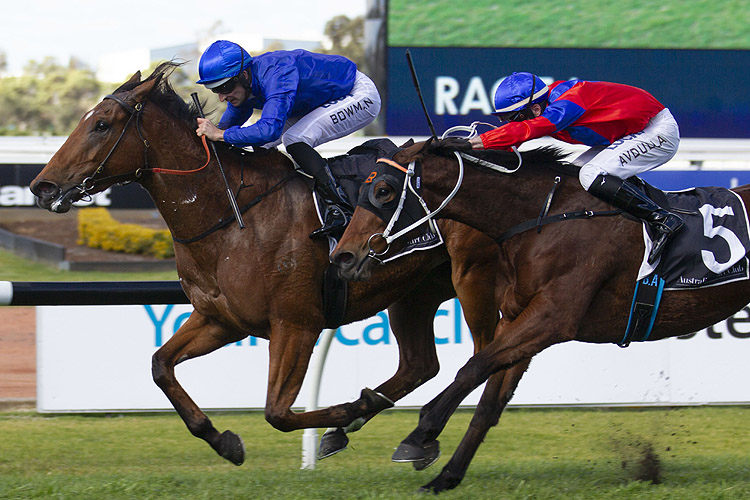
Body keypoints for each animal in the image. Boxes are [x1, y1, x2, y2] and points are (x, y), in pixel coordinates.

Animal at [29, 64, 502, 466]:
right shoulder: (222, 319)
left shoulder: (296, 324)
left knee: (484, 354)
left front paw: (347, 410)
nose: (42, 186)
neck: (232, 217)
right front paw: (225, 441)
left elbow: (278, 411)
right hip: (416, 290)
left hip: (473, 276)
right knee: (421, 364)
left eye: (101, 124)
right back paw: (397, 434)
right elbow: (160, 365)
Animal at [330, 139, 750, 494]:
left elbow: (472, 367)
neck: (545, 217)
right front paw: (445, 476)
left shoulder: (553, 316)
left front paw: (420, 435)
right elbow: (488, 401)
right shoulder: (518, 318)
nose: (343, 257)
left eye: (383, 191)